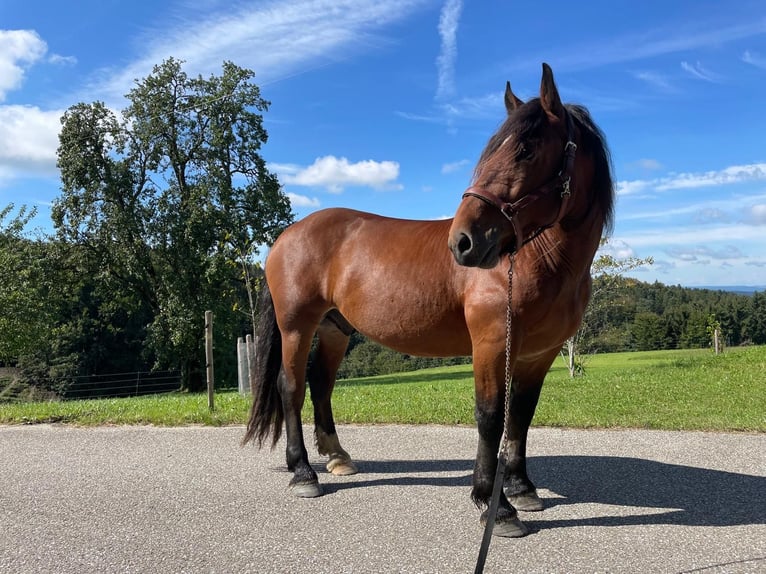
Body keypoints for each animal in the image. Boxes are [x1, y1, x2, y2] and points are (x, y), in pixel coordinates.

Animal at [243, 63, 614, 537]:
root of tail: (287, 234)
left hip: (335, 329)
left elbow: (521, 415)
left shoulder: (539, 354)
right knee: (290, 387)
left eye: (526, 149)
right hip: (296, 326)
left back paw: (338, 458)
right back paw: (303, 473)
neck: (538, 258)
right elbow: (491, 416)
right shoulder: (491, 343)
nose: (464, 241)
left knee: (320, 384)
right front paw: (493, 504)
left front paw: (521, 488)